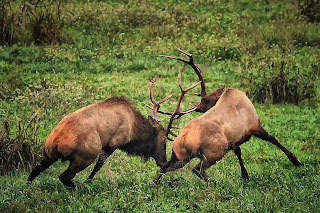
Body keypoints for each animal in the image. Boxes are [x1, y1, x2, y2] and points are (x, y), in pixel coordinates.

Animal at [154, 48, 302, 183]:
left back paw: (154, 185)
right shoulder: (254, 125)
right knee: (197, 169)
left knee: (164, 167)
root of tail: (184, 140)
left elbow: (239, 152)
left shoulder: (234, 141)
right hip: (215, 151)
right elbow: (273, 139)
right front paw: (295, 160)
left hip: (180, 156)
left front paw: (245, 175)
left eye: (204, 108)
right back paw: (215, 182)